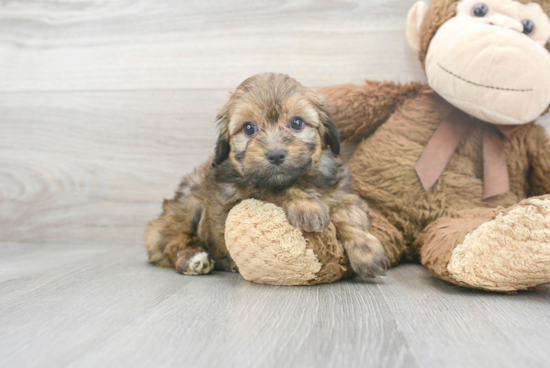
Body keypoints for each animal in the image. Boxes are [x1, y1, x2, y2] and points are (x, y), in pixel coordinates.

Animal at [147, 73, 388, 278]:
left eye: (296, 123)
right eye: (249, 128)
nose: (276, 154)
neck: (301, 179)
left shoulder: (342, 194)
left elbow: (349, 214)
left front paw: (367, 251)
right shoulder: (242, 195)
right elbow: (276, 190)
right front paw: (306, 205)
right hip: (190, 200)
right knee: (170, 241)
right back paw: (192, 259)